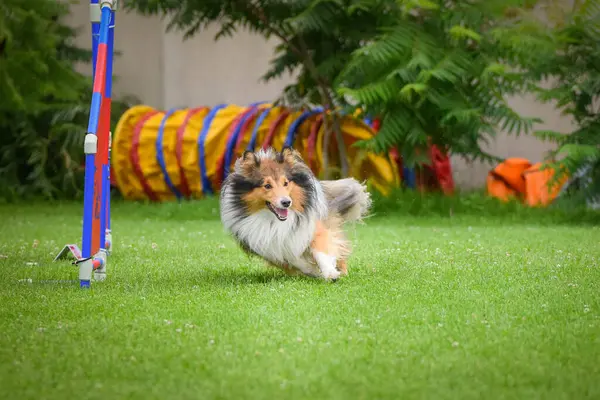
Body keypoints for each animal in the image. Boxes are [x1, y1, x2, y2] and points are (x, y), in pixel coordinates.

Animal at [220, 145, 370, 280]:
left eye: (286, 183)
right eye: (267, 185)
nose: (286, 202)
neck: (274, 221)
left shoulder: (314, 228)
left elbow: (321, 251)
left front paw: (330, 273)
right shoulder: (269, 247)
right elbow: (294, 260)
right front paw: (314, 271)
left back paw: (342, 271)